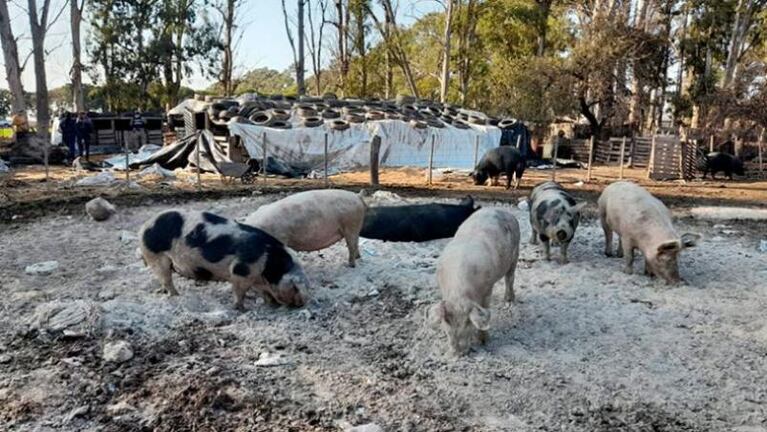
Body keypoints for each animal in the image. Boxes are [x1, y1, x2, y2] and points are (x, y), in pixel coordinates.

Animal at [138, 210, 308, 308]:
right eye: (295, 287)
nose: (302, 302)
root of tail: (144, 226)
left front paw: (269, 303)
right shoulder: (241, 270)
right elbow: (239, 291)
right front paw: (240, 308)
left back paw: (161, 291)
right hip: (156, 256)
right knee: (166, 278)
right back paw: (176, 295)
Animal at [426, 208, 520, 356]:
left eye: (468, 323)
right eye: (447, 322)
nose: (459, 353)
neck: (458, 294)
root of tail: (503, 211)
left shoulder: (488, 288)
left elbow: (486, 309)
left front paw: (484, 341)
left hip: (516, 252)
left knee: (510, 278)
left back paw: (508, 300)